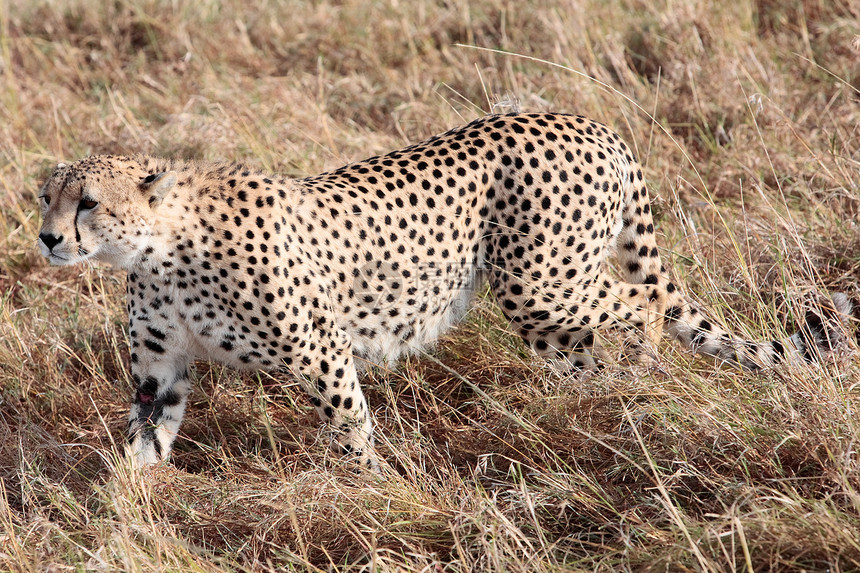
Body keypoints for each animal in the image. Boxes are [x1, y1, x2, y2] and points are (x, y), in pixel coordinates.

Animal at [38, 113, 848, 470]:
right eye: (44, 198)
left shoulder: (320, 350)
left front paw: (366, 489)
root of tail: (585, 119)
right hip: (545, 309)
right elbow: (144, 442)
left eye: (88, 204)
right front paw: (124, 512)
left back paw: (638, 375)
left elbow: (349, 428)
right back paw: (588, 410)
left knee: (641, 304)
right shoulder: (160, 372)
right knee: (586, 348)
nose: (46, 239)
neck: (161, 246)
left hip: (542, 282)